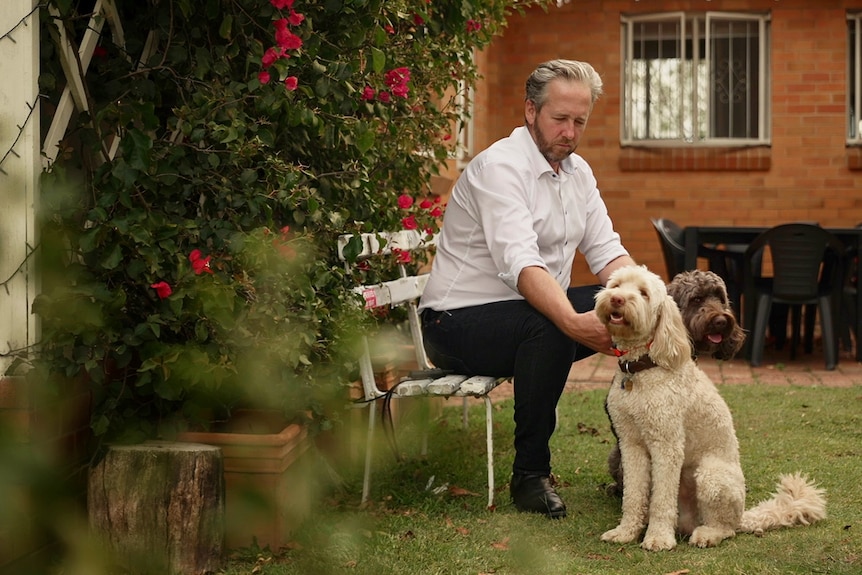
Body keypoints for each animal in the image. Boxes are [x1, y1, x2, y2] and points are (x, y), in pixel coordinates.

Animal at [592, 266, 832, 552]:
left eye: (643, 293)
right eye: (616, 285)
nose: (617, 299)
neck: (641, 369)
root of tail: (743, 516)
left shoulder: (667, 445)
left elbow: (661, 498)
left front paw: (658, 538)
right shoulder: (631, 445)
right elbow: (633, 495)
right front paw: (626, 532)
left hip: (711, 476)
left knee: (726, 528)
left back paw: (708, 534)